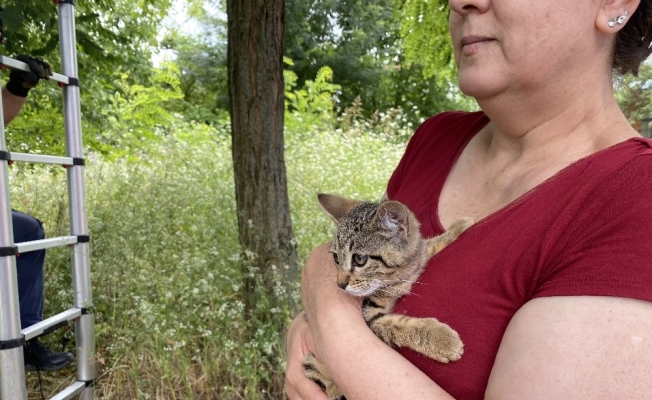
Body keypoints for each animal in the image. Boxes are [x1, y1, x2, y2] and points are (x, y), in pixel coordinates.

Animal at [304, 192, 472, 398]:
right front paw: (442, 339)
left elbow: (429, 245)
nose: (340, 284)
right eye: (336, 258)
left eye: (359, 259)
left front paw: (459, 227)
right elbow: (399, 325)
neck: (398, 278)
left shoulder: (418, 258)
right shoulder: (370, 317)